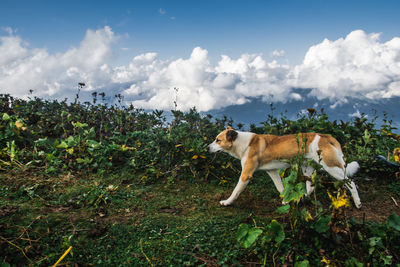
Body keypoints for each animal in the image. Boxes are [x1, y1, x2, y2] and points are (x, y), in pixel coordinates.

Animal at [208, 127, 360, 209]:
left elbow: (235, 191)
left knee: (351, 182)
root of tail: (326, 136)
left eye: (218, 140)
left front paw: (227, 202)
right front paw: (286, 200)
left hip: (331, 167)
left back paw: (358, 203)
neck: (242, 143)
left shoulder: (246, 174)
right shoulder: (272, 171)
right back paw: (302, 198)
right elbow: (280, 187)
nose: (207, 148)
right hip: (307, 168)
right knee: (310, 187)